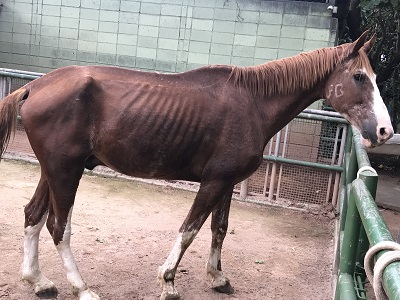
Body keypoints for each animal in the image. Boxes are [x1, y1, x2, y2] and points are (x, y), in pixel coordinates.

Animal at [0, 31, 394, 300]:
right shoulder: (213, 183)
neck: (253, 103)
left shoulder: (227, 182)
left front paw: (217, 278)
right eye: (359, 77)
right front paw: (168, 281)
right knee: (58, 226)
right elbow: (189, 230)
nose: (385, 131)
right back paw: (81, 288)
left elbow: (219, 228)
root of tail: (34, 87)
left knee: (33, 216)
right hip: (65, 172)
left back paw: (39, 281)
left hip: (52, 170)